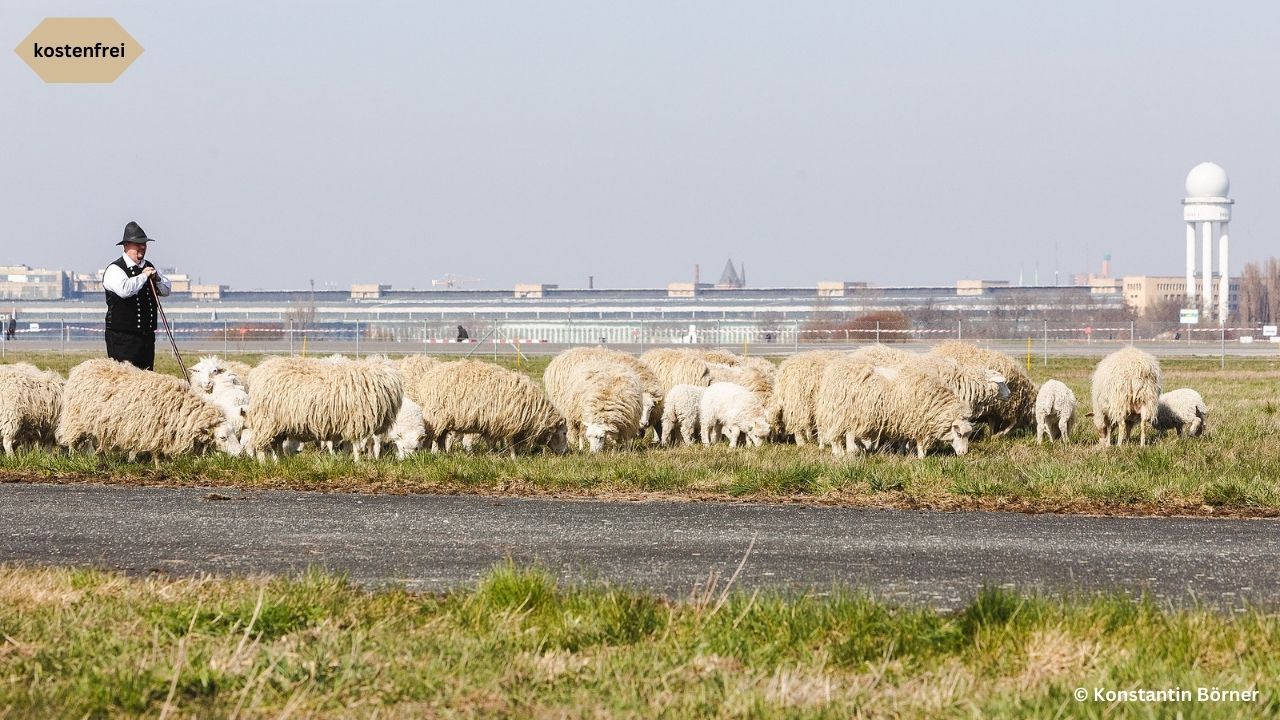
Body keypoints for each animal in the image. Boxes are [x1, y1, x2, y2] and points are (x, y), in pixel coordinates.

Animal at [55, 356, 240, 456]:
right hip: (75, 420)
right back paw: (75, 456)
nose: (240, 454)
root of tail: (85, 364)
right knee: (72, 442)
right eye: (223, 437)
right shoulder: (148, 430)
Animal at [241, 353, 396, 458]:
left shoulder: (349, 424)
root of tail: (259, 371)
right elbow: (356, 447)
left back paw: (279, 462)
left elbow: (349, 447)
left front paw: (346, 461)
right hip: (266, 421)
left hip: (278, 425)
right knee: (261, 447)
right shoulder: (355, 423)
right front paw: (357, 463)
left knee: (276, 445)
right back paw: (265, 464)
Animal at [412, 358, 568, 453]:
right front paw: (508, 456)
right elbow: (506, 441)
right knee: (433, 436)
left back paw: (444, 453)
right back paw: (430, 453)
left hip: (444, 418)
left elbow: (496, 441)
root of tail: (428, 376)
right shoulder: (504, 422)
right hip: (437, 415)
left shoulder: (496, 423)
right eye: (564, 433)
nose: (565, 452)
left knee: (441, 437)